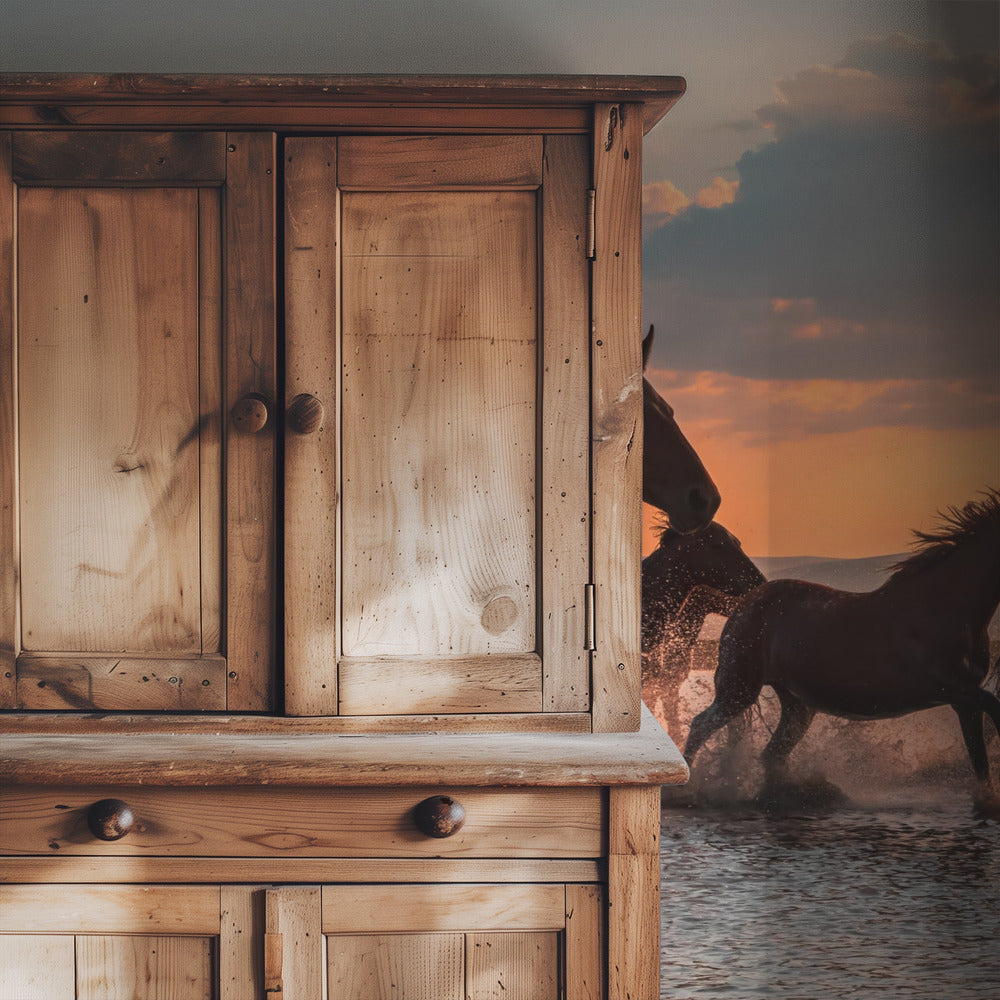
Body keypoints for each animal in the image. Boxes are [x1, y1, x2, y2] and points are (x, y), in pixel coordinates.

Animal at [684, 489, 1000, 811]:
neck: (945, 608)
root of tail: (745, 603)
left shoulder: (964, 699)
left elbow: (979, 754)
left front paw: (986, 800)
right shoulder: (945, 688)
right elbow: (994, 709)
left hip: (797, 705)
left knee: (772, 753)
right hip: (739, 689)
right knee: (700, 726)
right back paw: (687, 791)